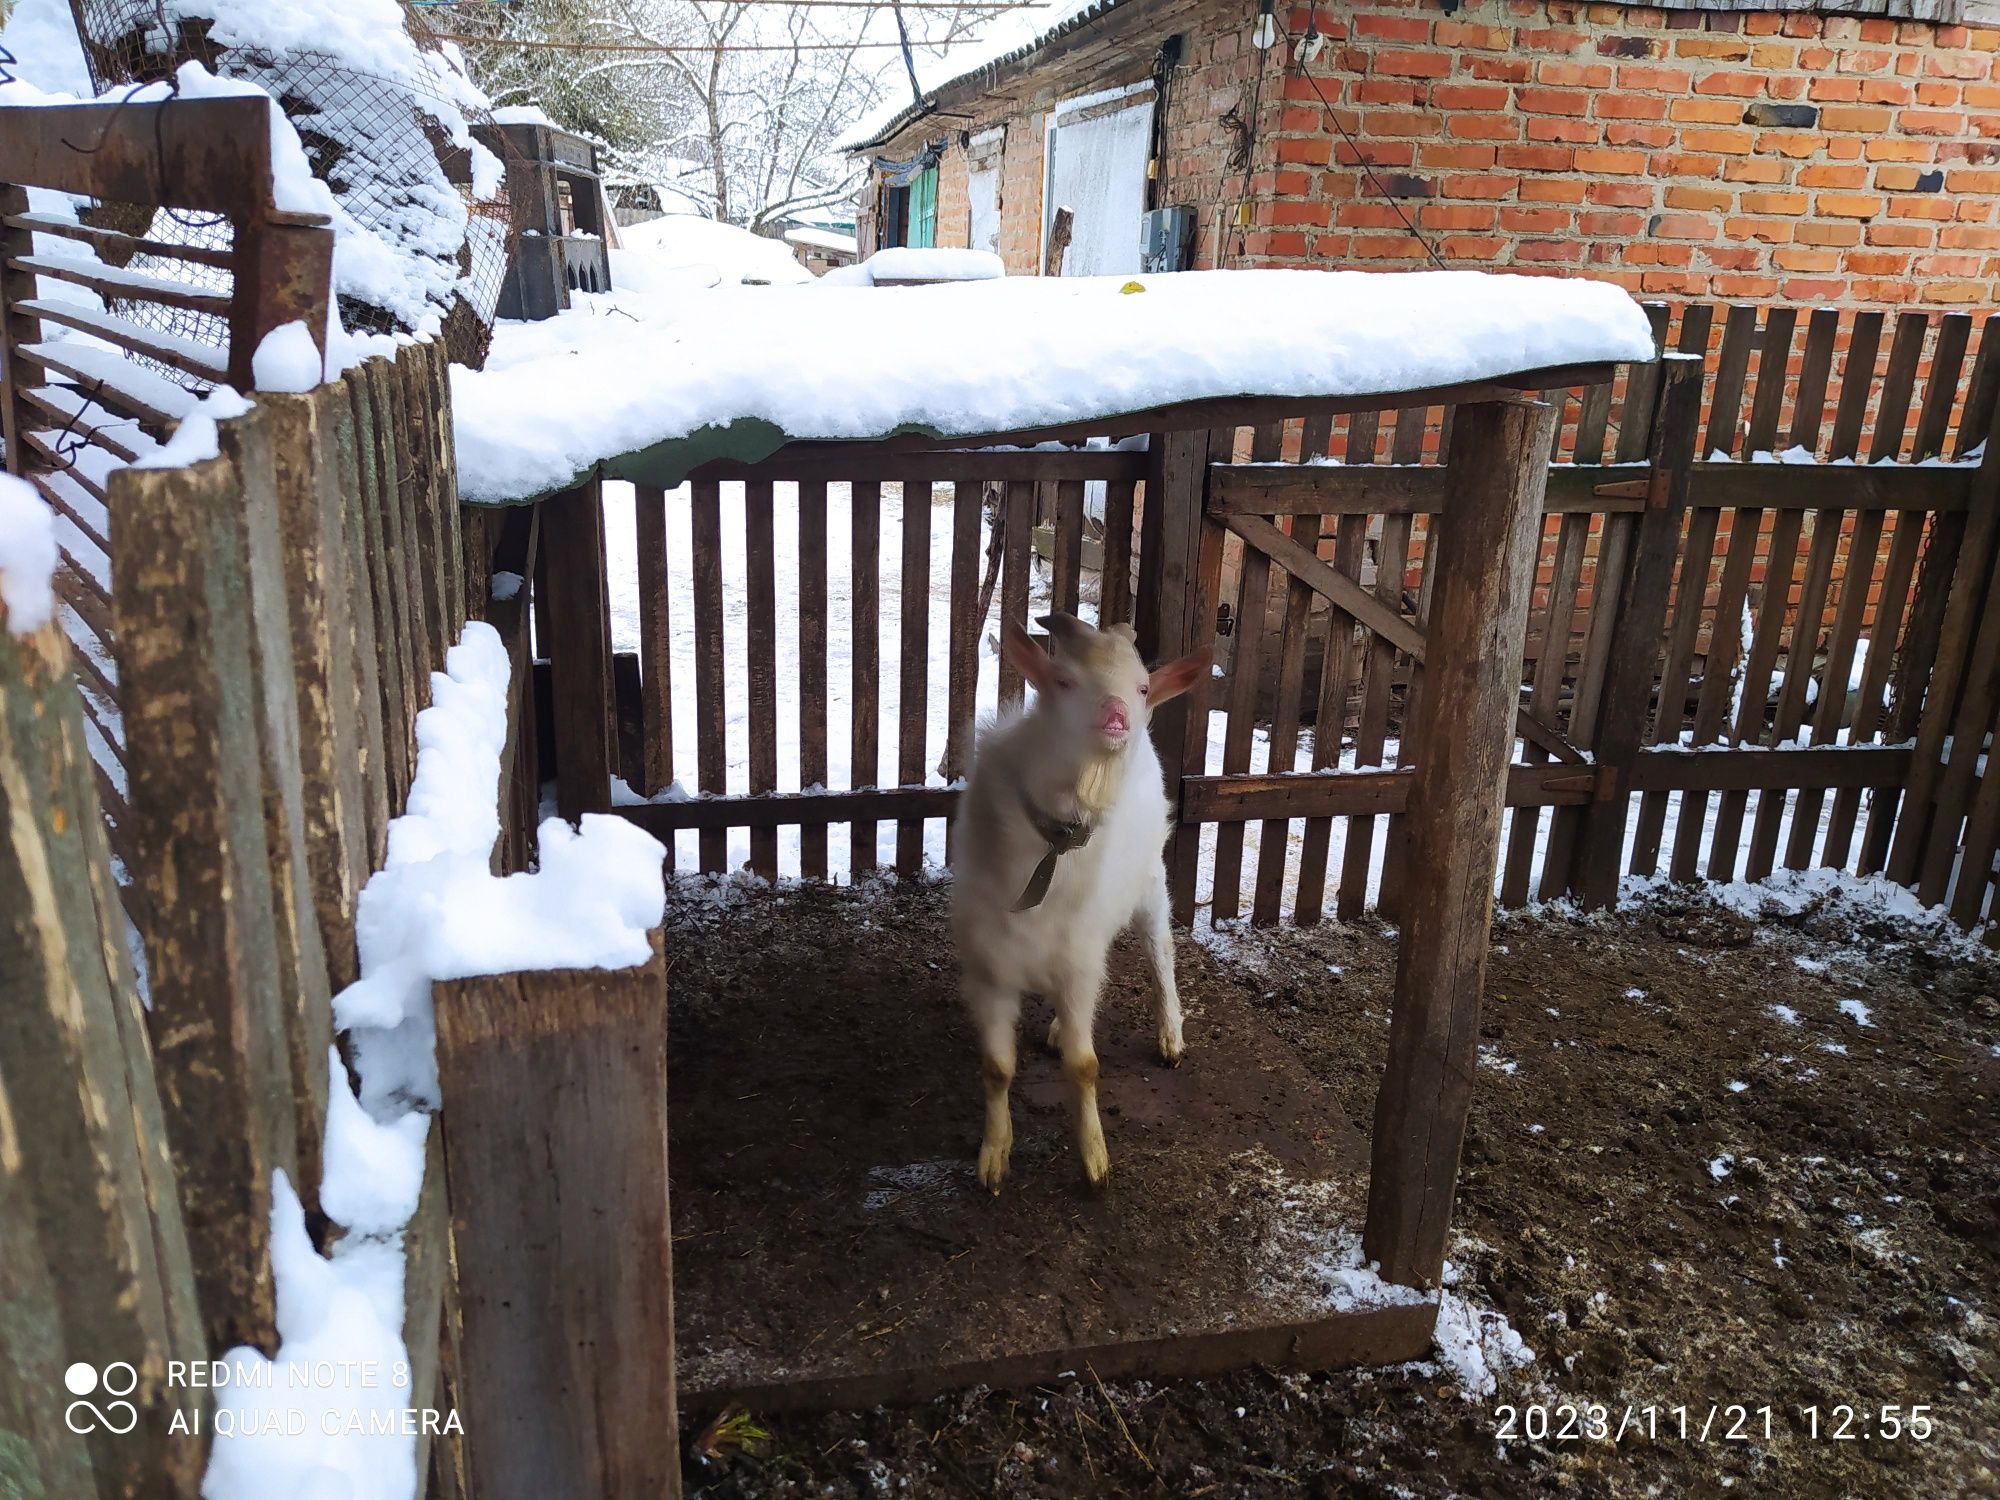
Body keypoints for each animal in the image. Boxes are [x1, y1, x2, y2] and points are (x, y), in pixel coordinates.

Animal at [948, 612, 1208, 1200]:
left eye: (1141, 687)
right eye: (1063, 681)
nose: (1117, 716)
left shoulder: (1081, 963)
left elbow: (1085, 1066)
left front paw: (1094, 1161)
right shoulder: (989, 966)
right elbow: (996, 1067)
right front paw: (993, 1157)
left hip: (1150, 884)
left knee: (1161, 956)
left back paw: (1171, 1035)